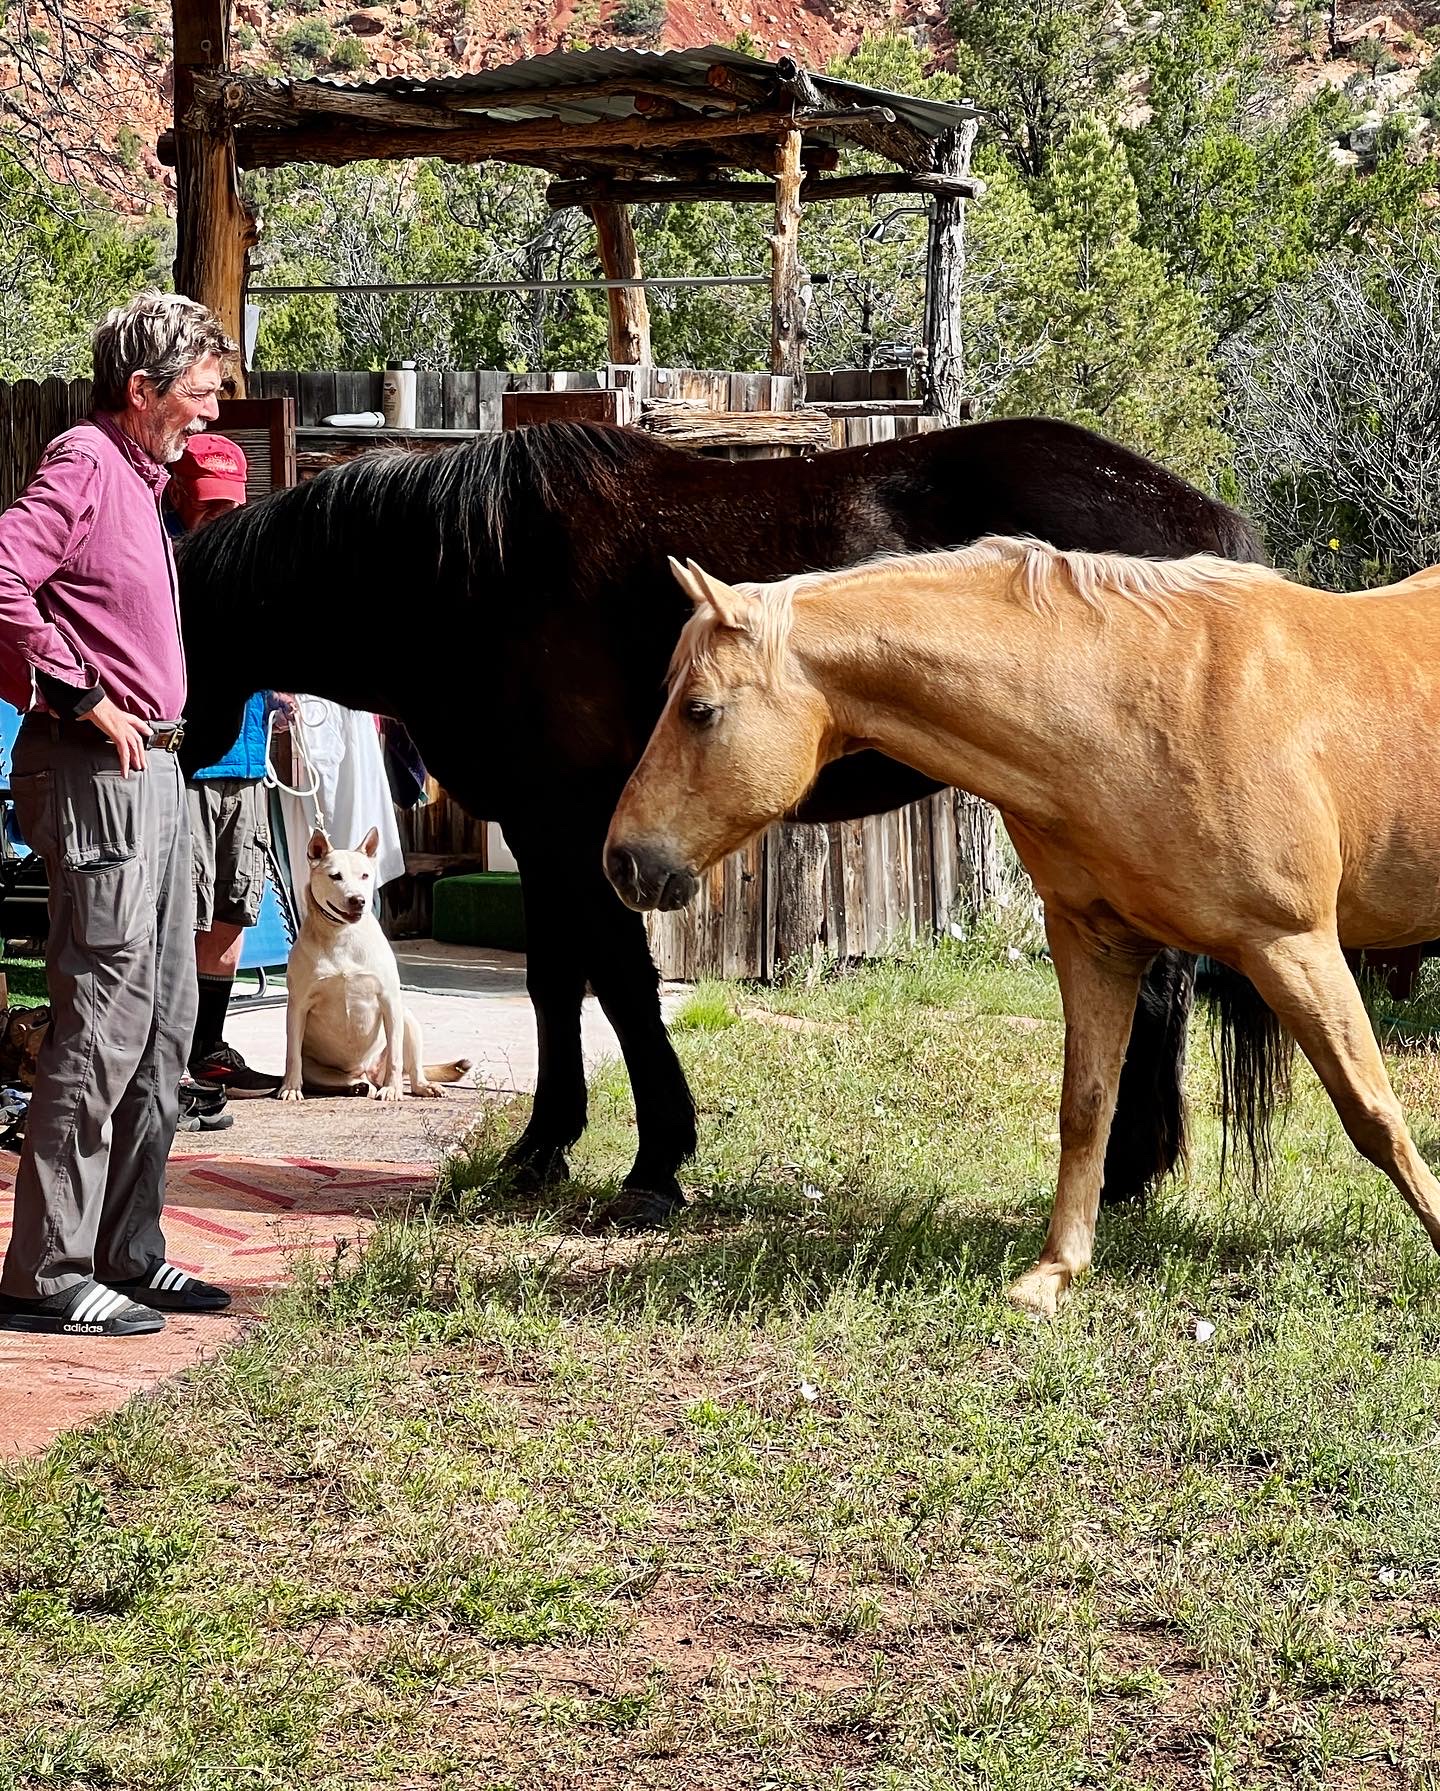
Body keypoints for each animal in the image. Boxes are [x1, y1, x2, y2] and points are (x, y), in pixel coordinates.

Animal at [274, 827, 465, 1103]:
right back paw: (358, 1086)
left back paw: (419, 1085)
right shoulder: (298, 1005)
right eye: (335, 876)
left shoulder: (389, 1000)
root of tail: (369, 1072)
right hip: (320, 1069)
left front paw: (393, 1088)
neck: (342, 935)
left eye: (365, 875)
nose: (358, 900)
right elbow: (292, 1054)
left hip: (408, 1022)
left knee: (412, 1067)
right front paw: (290, 1087)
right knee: (342, 1078)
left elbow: (395, 1056)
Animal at [608, 537, 1440, 1311]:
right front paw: (1055, 1272)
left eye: (699, 710)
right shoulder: (1097, 942)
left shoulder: (1291, 945)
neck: (1143, 702)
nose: (623, 861)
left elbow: (1373, 1112)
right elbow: (1086, 1105)